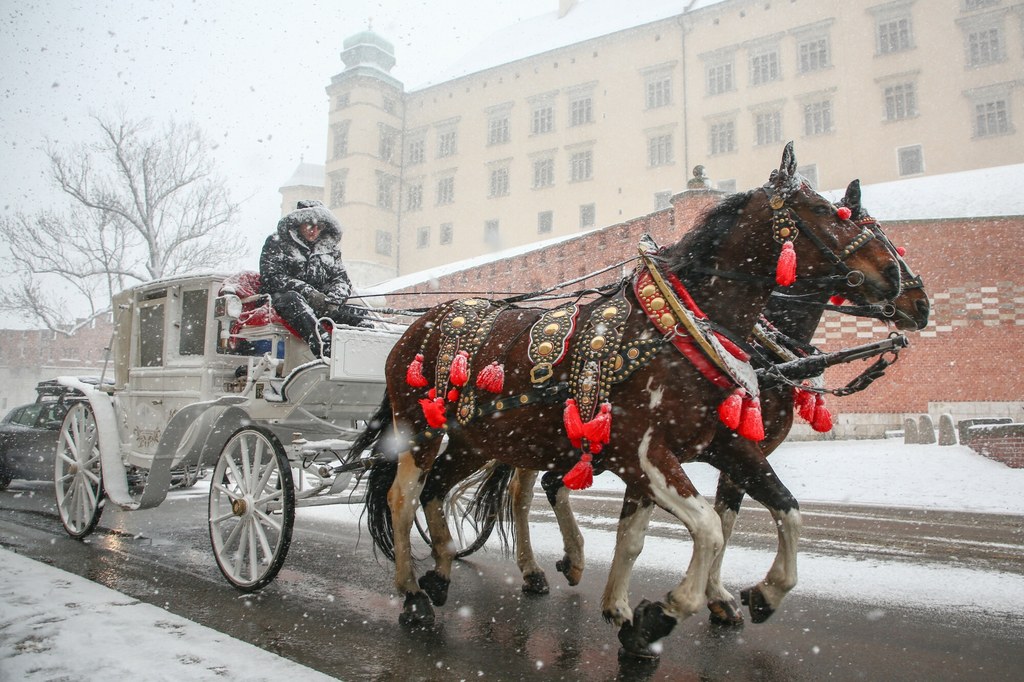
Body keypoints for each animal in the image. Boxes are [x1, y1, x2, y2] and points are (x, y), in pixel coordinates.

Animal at [356, 142, 901, 647]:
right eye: (828, 212)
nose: (898, 280)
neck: (686, 327)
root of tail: (421, 322)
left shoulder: (715, 445)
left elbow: (770, 512)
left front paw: (741, 598)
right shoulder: (640, 451)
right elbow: (708, 526)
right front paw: (665, 611)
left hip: (480, 439)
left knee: (444, 490)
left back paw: (443, 571)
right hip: (419, 427)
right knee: (405, 496)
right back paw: (414, 594)